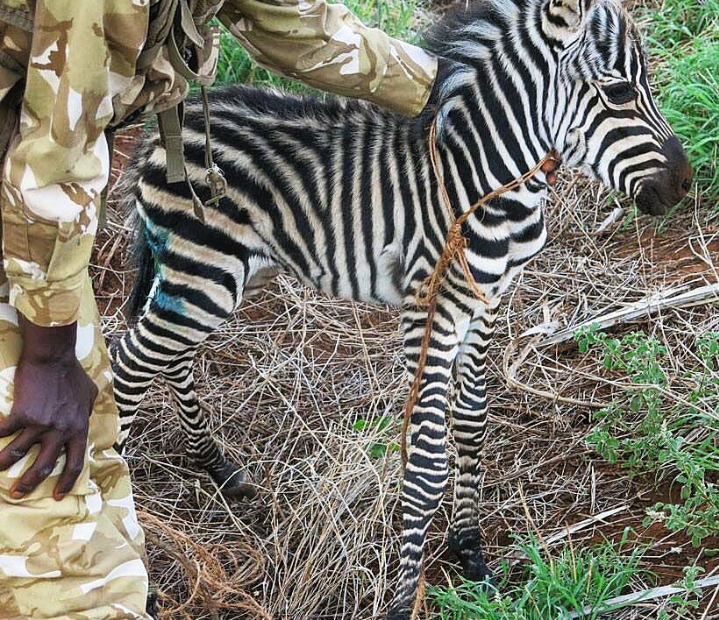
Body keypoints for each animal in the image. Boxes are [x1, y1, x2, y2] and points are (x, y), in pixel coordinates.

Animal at [112, 1, 692, 616]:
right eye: (619, 91)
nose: (684, 183)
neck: (478, 177)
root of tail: (161, 135)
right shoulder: (432, 307)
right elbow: (427, 459)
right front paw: (401, 595)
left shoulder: (485, 301)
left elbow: (472, 422)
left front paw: (470, 552)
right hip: (205, 272)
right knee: (127, 367)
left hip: (214, 276)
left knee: (169, 357)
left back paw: (217, 466)